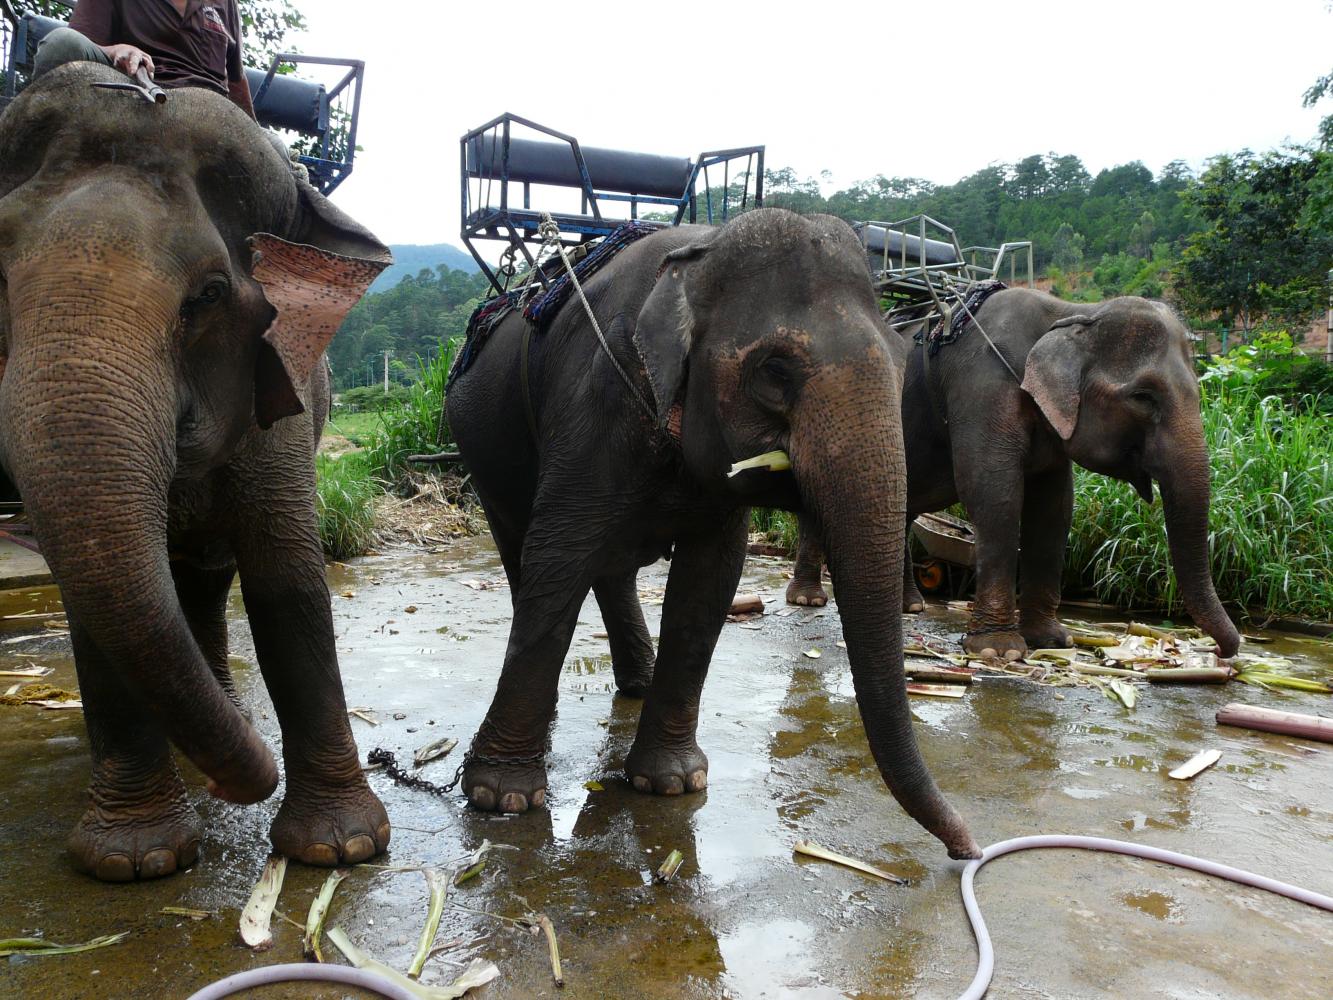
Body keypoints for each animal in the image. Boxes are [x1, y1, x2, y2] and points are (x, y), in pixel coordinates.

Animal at [0, 62, 391, 880]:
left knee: (209, 577)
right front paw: (133, 861)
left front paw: (341, 848)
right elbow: (93, 600)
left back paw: (233, 713)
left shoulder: (282, 386)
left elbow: (287, 575)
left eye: (208, 295)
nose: (234, 783)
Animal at [447, 209, 981, 864]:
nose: (966, 850)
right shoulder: (593, 401)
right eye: (774, 371)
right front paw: (501, 799)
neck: (700, 254)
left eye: (905, 363)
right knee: (525, 556)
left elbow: (711, 580)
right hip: (483, 453)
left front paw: (674, 784)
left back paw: (639, 682)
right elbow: (558, 559)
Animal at [783, 288, 1242, 666]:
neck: (1069, 312)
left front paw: (1053, 641)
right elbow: (994, 493)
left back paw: (910, 608)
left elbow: (1054, 507)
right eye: (1144, 397)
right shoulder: (981, 387)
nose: (1220, 653)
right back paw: (808, 599)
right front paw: (997, 651)